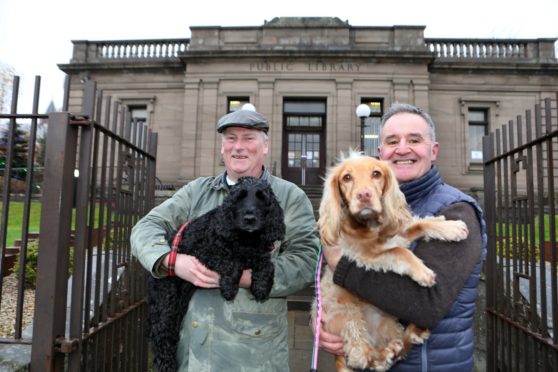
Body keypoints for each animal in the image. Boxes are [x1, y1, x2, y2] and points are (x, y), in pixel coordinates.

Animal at [147, 177, 286, 372]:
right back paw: (166, 364)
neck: (246, 239)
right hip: (167, 301)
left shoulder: (259, 252)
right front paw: (229, 288)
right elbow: (231, 262)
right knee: (162, 335)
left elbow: (267, 265)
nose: (249, 219)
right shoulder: (206, 251)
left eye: (261, 197)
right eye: (239, 197)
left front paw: (261, 286)